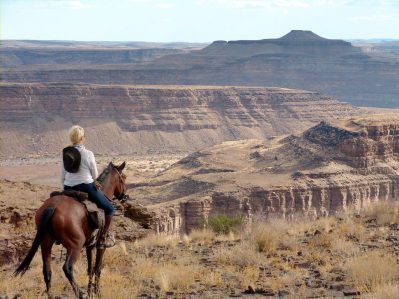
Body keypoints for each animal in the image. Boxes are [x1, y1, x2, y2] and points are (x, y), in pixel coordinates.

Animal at [14, 163, 129, 298]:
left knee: (47, 271)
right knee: (67, 268)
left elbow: (90, 269)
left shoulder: (90, 246)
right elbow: (97, 269)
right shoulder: (101, 246)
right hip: (75, 245)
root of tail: (52, 206)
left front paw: (90, 292)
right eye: (124, 177)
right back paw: (79, 294)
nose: (125, 196)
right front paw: (97, 292)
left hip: (46, 243)